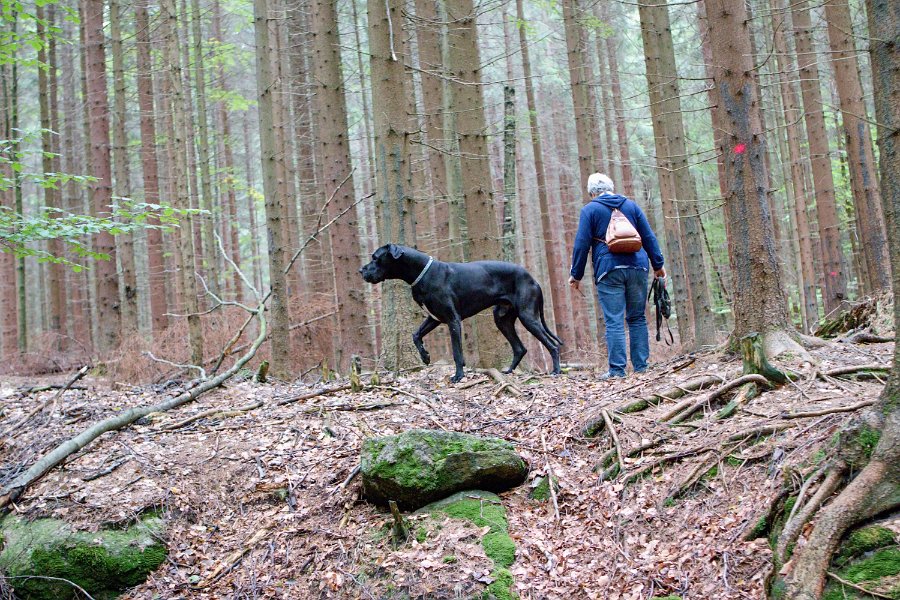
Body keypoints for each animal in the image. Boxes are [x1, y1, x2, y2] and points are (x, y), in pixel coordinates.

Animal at [360, 243, 564, 380]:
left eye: (375, 257)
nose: (361, 270)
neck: (422, 273)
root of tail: (533, 279)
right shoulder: (434, 317)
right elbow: (415, 335)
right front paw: (425, 357)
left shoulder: (453, 320)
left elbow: (456, 352)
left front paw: (458, 375)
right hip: (502, 319)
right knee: (520, 348)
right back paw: (508, 371)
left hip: (528, 316)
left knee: (553, 345)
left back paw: (556, 371)